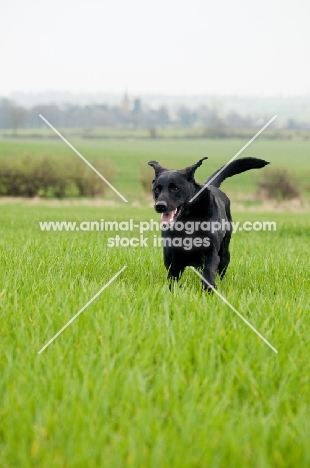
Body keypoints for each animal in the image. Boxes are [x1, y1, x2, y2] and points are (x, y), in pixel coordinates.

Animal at [148, 157, 268, 288]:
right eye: (157, 189)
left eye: (175, 188)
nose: (160, 206)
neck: (187, 222)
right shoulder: (172, 257)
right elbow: (172, 278)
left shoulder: (210, 252)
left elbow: (208, 272)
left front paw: (208, 289)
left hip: (225, 253)